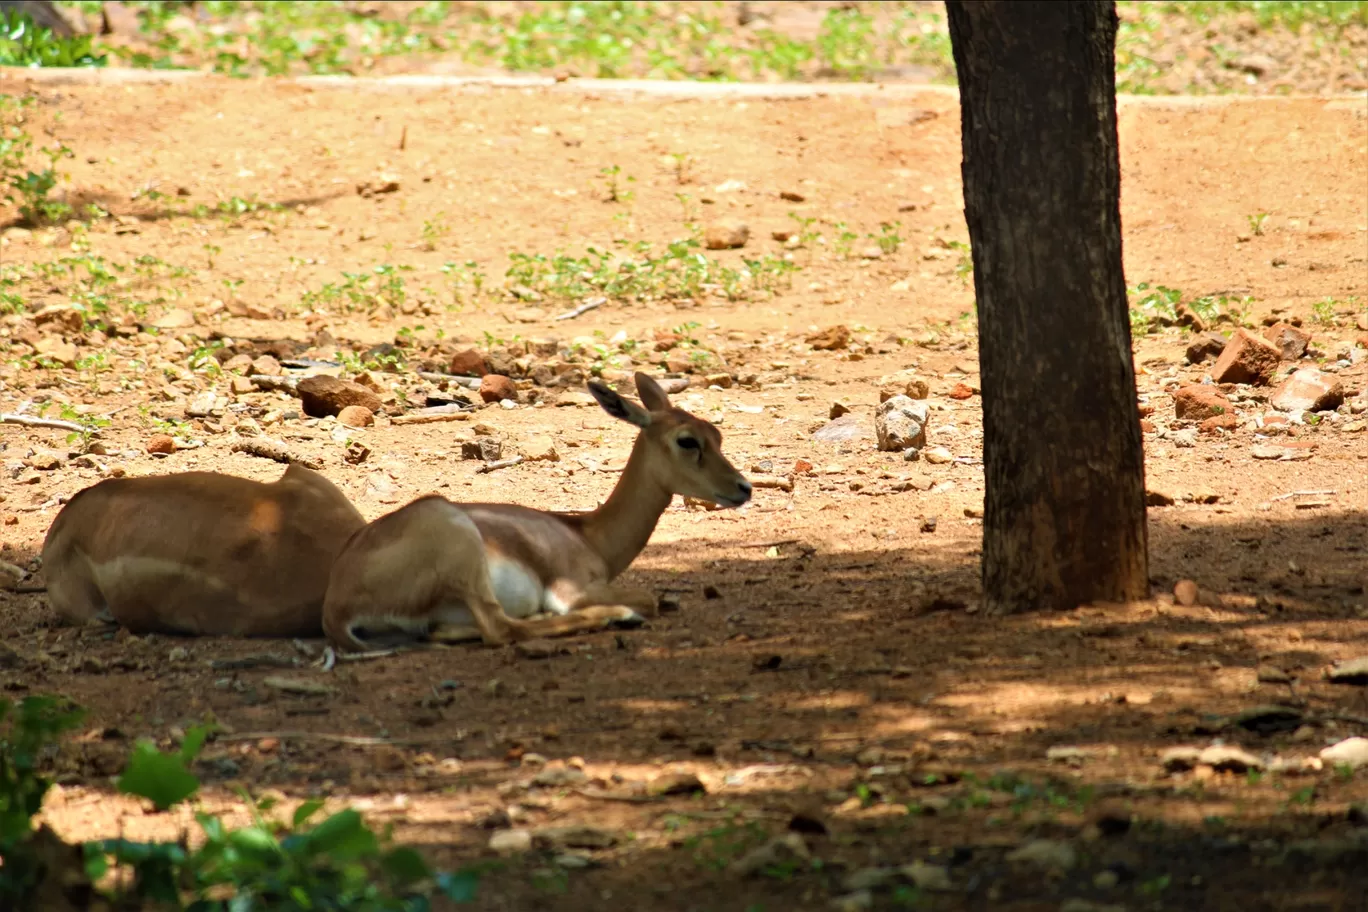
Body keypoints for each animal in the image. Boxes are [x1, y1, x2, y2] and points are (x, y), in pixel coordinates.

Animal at [321, 374, 755, 653]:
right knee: (499, 628)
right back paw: (617, 616)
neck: (585, 534)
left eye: (717, 435)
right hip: (460, 545)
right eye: (687, 441)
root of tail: (337, 605)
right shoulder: (572, 589)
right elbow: (648, 598)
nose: (743, 488)